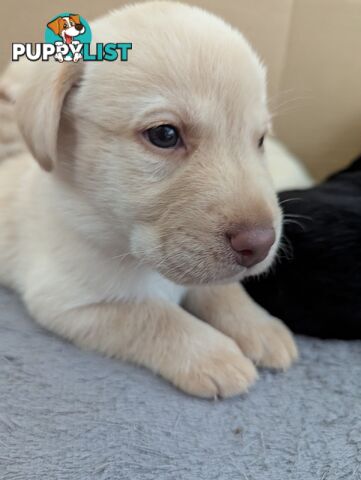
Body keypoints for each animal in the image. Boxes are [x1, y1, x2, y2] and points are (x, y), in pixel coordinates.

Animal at [0, 0, 296, 398]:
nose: (260, 244)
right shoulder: (71, 303)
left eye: (260, 140)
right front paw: (215, 356)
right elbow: (154, 316)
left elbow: (223, 289)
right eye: (165, 135)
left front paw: (259, 326)